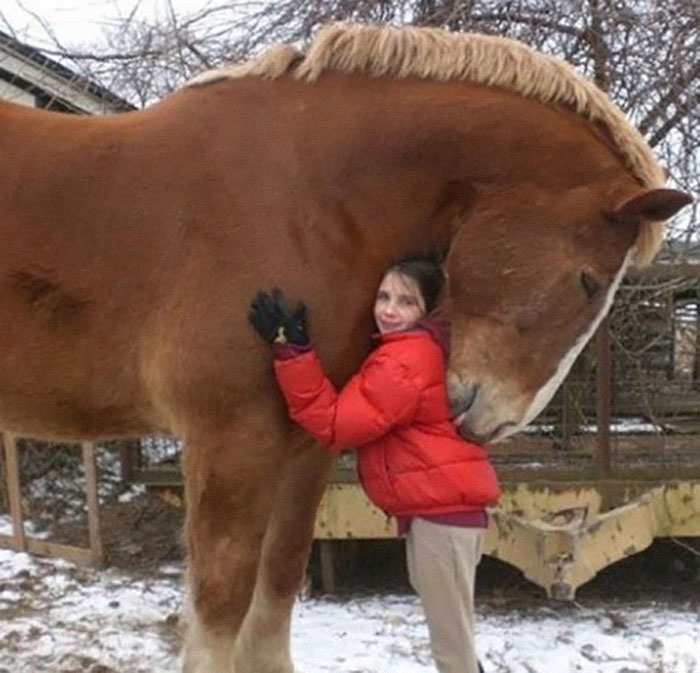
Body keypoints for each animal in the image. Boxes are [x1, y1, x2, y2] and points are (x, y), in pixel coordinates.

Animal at [0, 21, 691, 673]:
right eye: (589, 280)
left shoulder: (304, 447)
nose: (494, 421)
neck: (303, 200)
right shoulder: (231, 443)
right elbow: (221, 607)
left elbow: (276, 593)